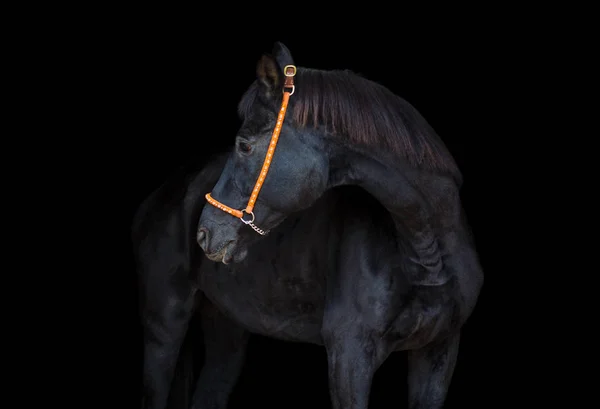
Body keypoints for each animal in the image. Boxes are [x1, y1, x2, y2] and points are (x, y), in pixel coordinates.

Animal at [134, 42, 486, 408]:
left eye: (244, 145)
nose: (205, 233)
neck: (425, 249)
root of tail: (165, 191)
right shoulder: (349, 356)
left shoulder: (438, 352)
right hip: (164, 327)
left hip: (226, 330)